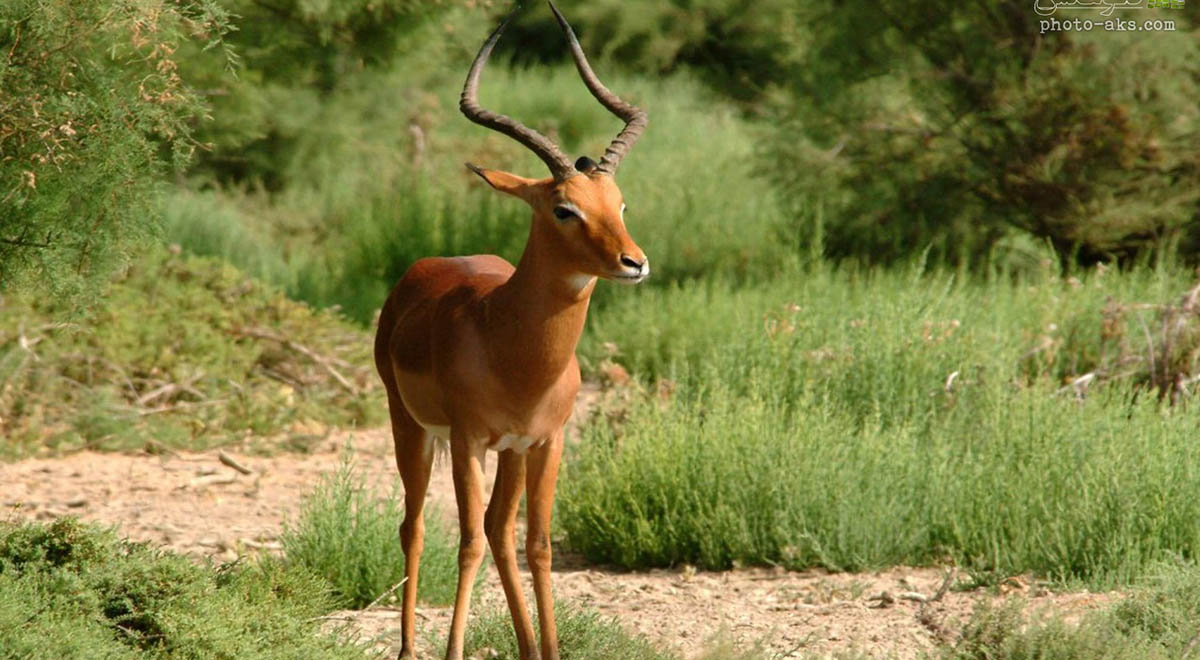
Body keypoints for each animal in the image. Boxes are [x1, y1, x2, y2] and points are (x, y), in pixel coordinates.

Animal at [374, 2, 652, 657]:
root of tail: (422, 271)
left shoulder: (545, 442)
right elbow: (468, 542)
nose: (634, 263)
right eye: (563, 209)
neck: (515, 350)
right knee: (416, 525)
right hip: (412, 428)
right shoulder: (470, 440)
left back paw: (526, 646)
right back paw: (408, 647)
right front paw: (453, 650)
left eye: (620, 204)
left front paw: (549, 648)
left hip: (510, 453)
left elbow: (537, 545)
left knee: (502, 531)